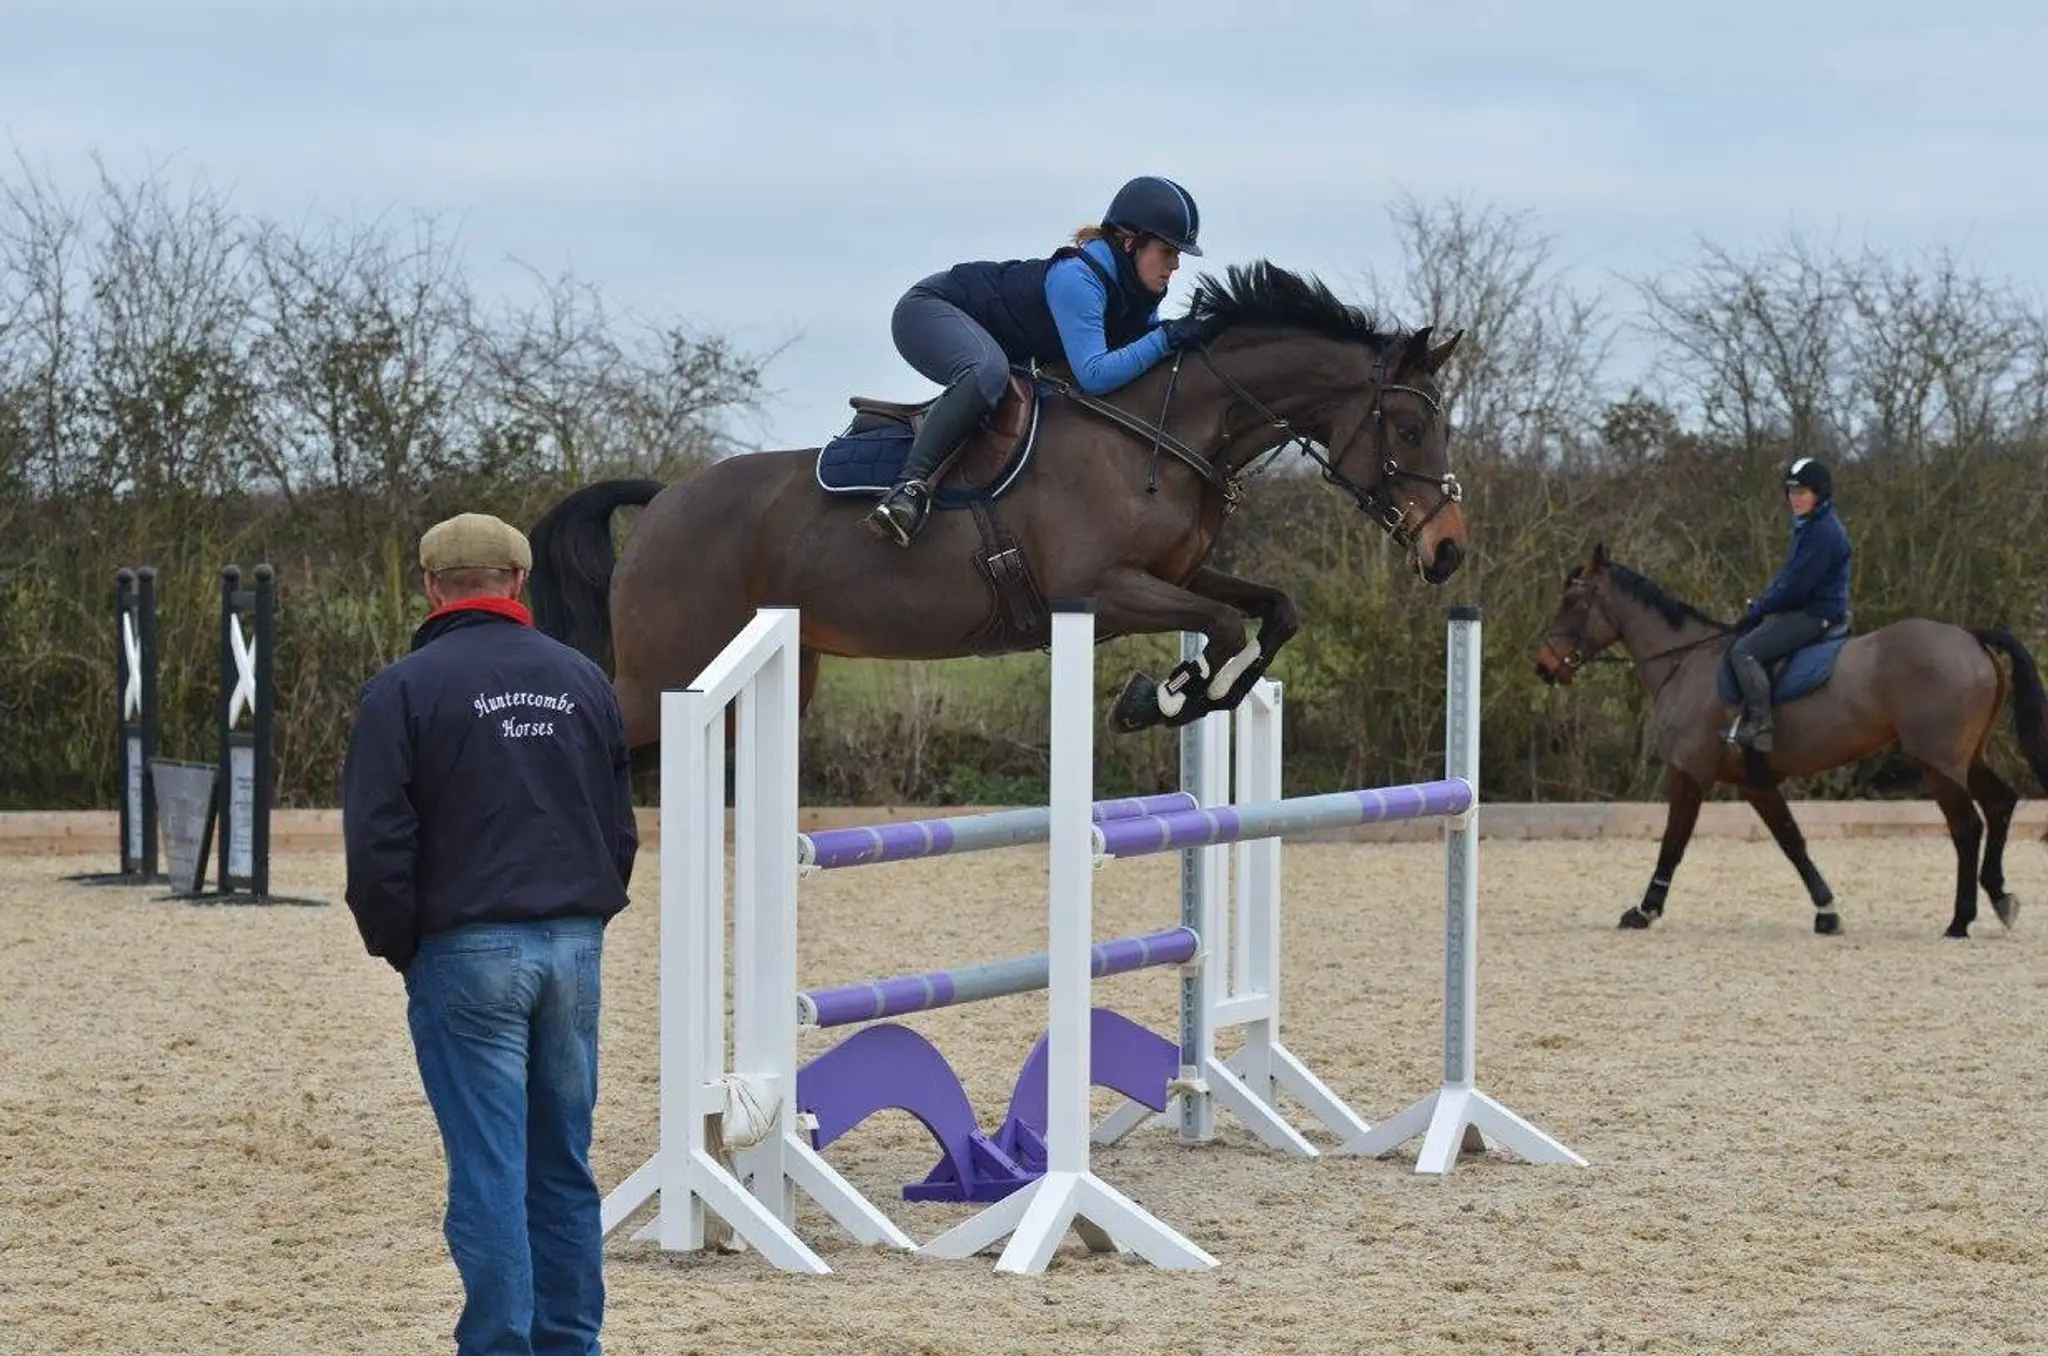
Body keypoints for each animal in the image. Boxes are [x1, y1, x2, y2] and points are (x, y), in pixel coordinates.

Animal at [526, 261, 1467, 764]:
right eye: (1410, 427)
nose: (1449, 553)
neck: (1160, 434)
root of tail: (664, 502)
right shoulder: (1100, 591)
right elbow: (1225, 628)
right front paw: (1161, 697)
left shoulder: (1179, 573)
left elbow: (1274, 611)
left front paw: (1185, 695)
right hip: (663, 680)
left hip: (780, 675)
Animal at [1532, 544, 2048, 939]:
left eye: (1573, 601)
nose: (1544, 666)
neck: (1686, 664)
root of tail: (1971, 639)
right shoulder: (1755, 783)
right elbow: (1792, 842)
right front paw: (1827, 912)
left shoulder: (1689, 773)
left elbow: (1673, 843)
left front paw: (1644, 910)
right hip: (1967, 758)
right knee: (2000, 804)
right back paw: (2001, 898)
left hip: (1938, 764)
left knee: (1967, 827)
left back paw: (1960, 921)